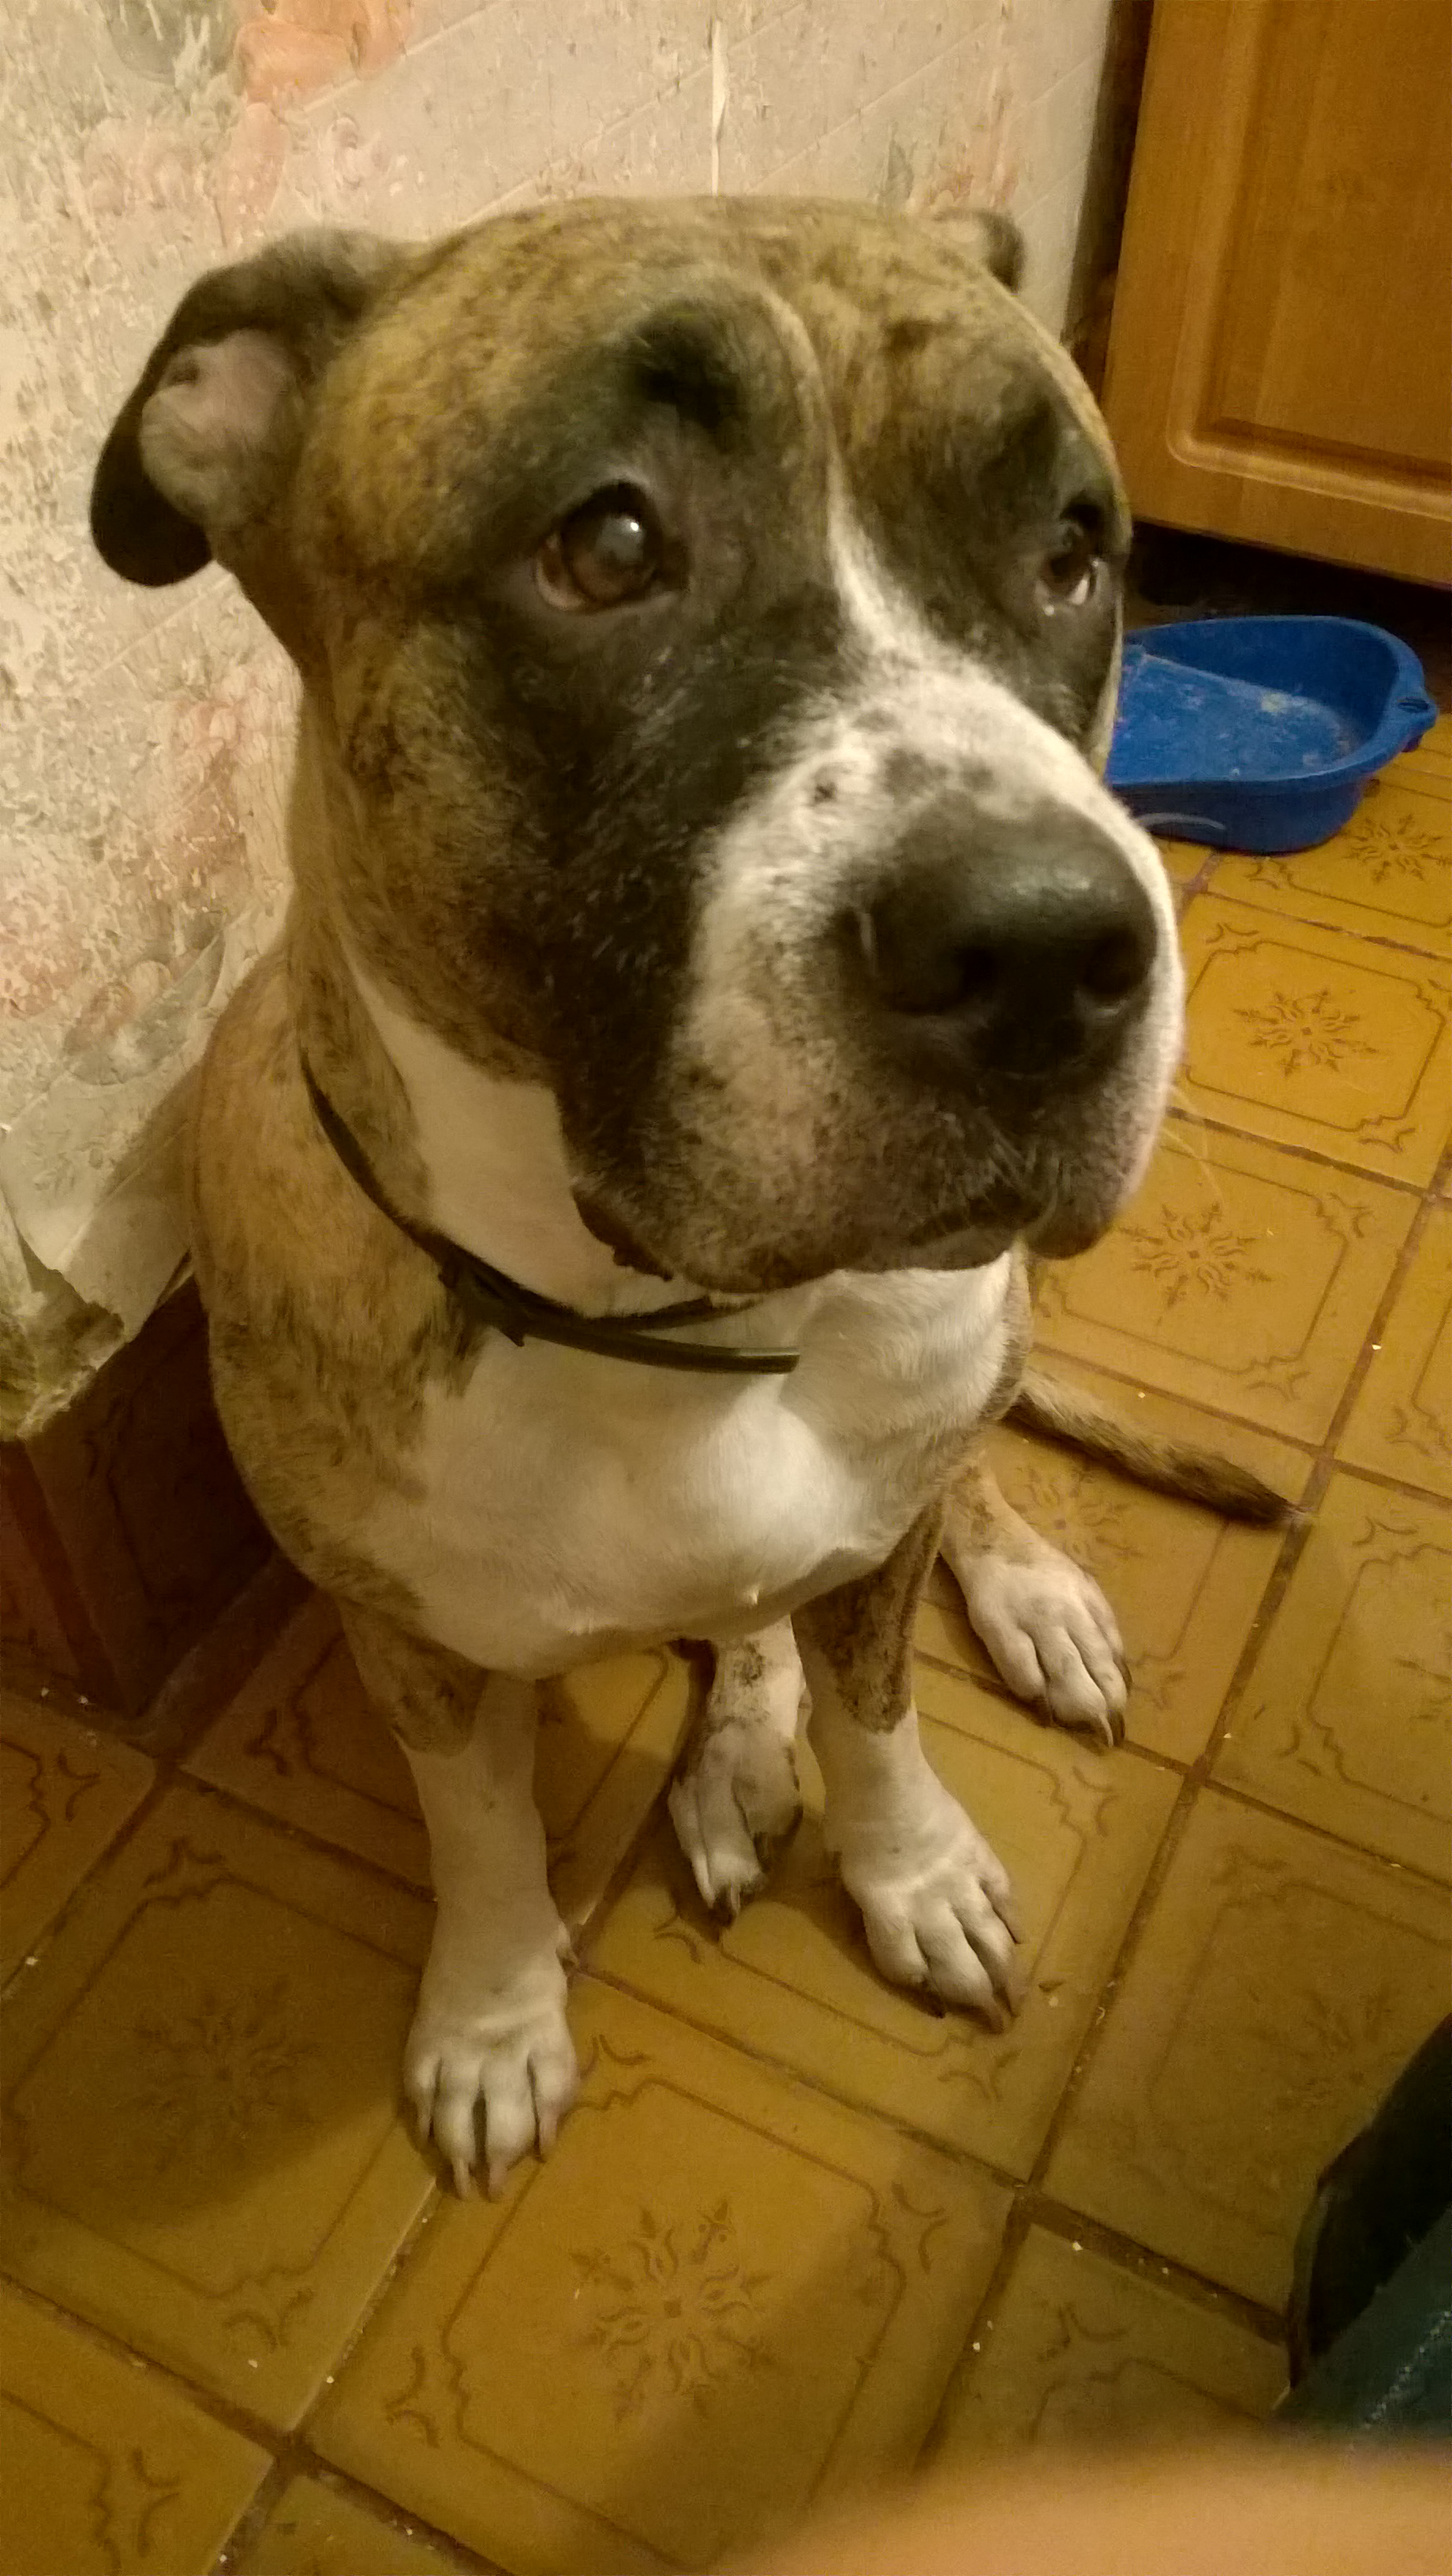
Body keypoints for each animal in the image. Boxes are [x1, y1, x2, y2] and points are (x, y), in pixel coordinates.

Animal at [92, 198, 1282, 2197]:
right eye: (607, 543)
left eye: (1068, 552)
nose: (1052, 949)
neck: (672, 1330)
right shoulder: (403, 1637)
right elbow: (481, 1828)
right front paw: (495, 2016)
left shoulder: (876, 1544)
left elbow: (879, 1716)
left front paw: (909, 1870)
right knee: (742, 1641)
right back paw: (727, 1761)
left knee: (954, 1490)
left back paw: (1012, 1597)